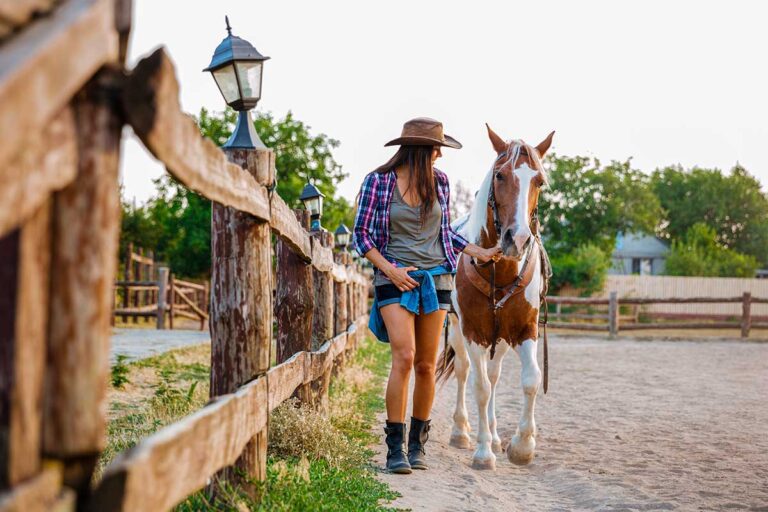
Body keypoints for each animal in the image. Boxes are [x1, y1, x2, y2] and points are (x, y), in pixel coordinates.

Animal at [436, 126, 556, 470]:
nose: (518, 239)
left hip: (500, 338)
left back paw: (493, 433)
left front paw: (522, 446)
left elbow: (531, 379)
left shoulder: (524, 329)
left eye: (539, 181)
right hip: (458, 331)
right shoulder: (474, 332)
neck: (500, 271)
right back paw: (463, 433)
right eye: (500, 175)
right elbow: (479, 387)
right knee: (466, 372)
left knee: (495, 375)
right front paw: (482, 452)